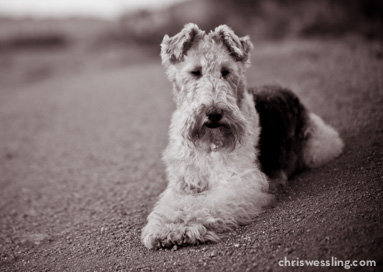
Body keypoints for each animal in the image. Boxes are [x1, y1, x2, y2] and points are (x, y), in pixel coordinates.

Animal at [141, 24, 344, 250]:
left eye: (225, 71)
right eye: (195, 72)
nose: (214, 113)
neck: (209, 145)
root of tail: (283, 88)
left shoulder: (240, 181)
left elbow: (203, 204)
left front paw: (178, 228)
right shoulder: (182, 183)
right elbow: (172, 204)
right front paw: (165, 227)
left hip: (320, 146)